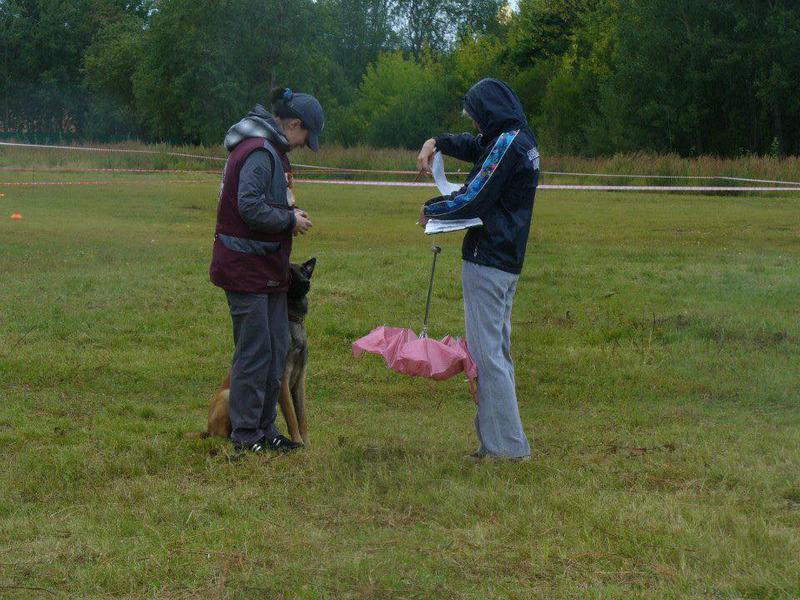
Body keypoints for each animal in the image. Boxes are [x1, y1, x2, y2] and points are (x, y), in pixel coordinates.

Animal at [206, 258, 316, 446]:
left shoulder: (300, 379)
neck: (292, 321)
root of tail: (206, 430)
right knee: (223, 435)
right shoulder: (282, 380)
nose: (306, 282)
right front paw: (298, 441)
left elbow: (302, 416)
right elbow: (292, 417)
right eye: (289, 272)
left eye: (303, 271)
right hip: (227, 396)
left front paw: (307, 443)